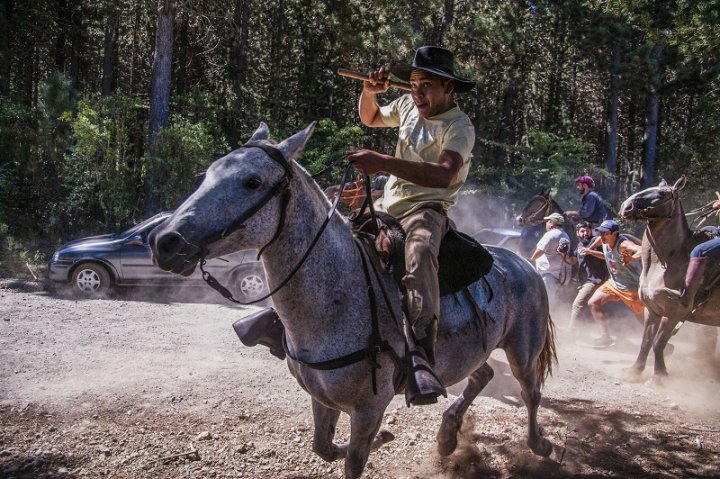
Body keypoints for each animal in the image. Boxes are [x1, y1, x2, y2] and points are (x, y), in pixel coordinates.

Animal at [149, 122, 560, 478]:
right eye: (207, 175)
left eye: (252, 182)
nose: (163, 241)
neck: (336, 299)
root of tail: (522, 262)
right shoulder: (321, 399)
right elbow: (323, 447)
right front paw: (385, 438)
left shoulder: (367, 410)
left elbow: (353, 461)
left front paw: (381, 438)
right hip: (472, 349)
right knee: (484, 374)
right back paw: (447, 437)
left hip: (522, 349)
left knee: (531, 393)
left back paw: (539, 445)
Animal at [620, 177, 720, 382]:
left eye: (662, 194)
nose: (626, 206)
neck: (666, 263)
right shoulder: (652, 310)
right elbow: (646, 341)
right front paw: (635, 371)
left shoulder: (674, 313)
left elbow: (659, 342)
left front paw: (659, 376)